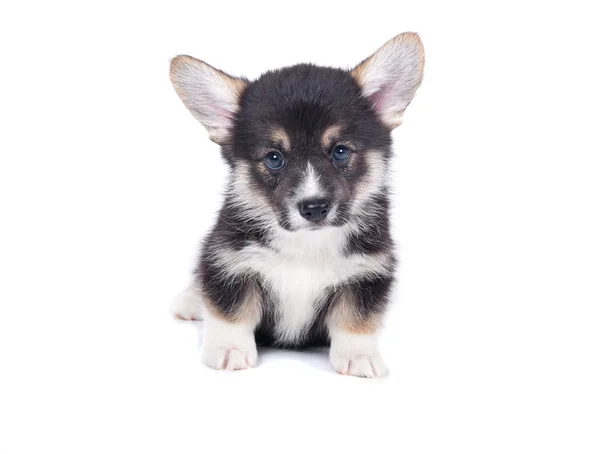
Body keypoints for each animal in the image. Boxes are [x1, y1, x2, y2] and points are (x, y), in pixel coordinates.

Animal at [168, 31, 422, 378]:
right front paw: (229, 349)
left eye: (340, 151)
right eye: (274, 158)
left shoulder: (368, 271)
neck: (306, 244)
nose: (314, 208)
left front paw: (359, 356)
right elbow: (231, 310)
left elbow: (355, 318)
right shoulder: (228, 261)